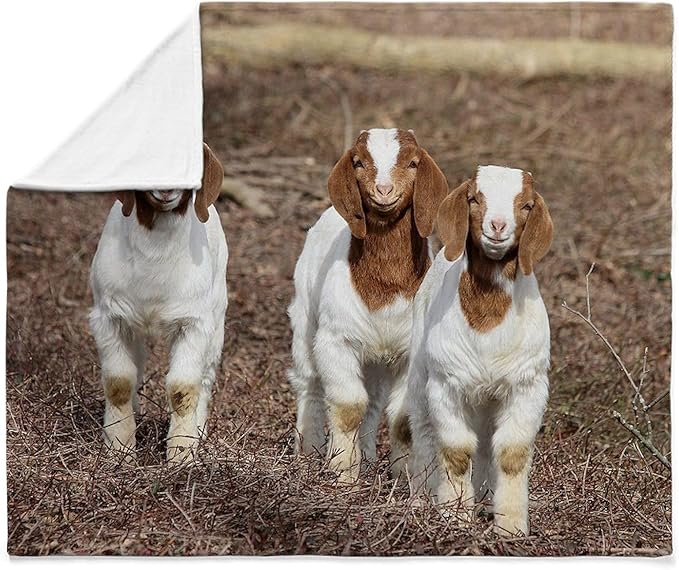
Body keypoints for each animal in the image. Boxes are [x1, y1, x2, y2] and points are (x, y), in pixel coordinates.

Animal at [89, 143, 227, 464]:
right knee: (137, 364)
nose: (166, 185)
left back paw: (199, 430)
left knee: (206, 376)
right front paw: (119, 448)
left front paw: (181, 455)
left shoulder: (194, 323)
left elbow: (183, 388)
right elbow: (118, 382)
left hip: (217, 318)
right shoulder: (110, 317)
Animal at [288, 128, 449, 482]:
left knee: (374, 401)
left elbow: (401, 417)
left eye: (413, 163)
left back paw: (369, 458)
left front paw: (402, 475)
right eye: (359, 162)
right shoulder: (337, 340)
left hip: (375, 358)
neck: (383, 291)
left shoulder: (409, 352)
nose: (384, 190)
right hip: (305, 318)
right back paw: (309, 450)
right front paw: (342, 472)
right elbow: (348, 406)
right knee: (309, 383)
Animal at [402, 165, 553, 535]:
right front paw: (454, 518)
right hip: (420, 375)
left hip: (488, 397)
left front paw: (511, 527)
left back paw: (485, 501)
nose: (497, 226)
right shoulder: (446, 383)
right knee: (424, 432)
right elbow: (456, 451)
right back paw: (420, 500)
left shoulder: (527, 385)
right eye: (474, 198)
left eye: (526, 205)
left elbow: (512, 453)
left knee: (485, 442)